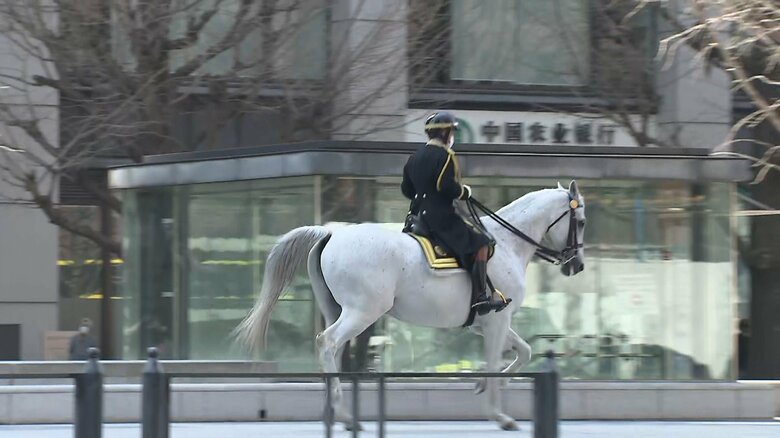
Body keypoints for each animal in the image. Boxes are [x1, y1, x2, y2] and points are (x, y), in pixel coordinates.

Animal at [234, 180, 586, 431]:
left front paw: (484, 385)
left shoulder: (487, 323)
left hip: (341, 310)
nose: (577, 265)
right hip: (363, 312)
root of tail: (332, 232)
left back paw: (337, 412)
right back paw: (342, 413)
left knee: (333, 350)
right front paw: (498, 412)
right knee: (327, 342)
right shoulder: (496, 321)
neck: (508, 243)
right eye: (581, 221)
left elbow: (523, 351)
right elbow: (497, 360)